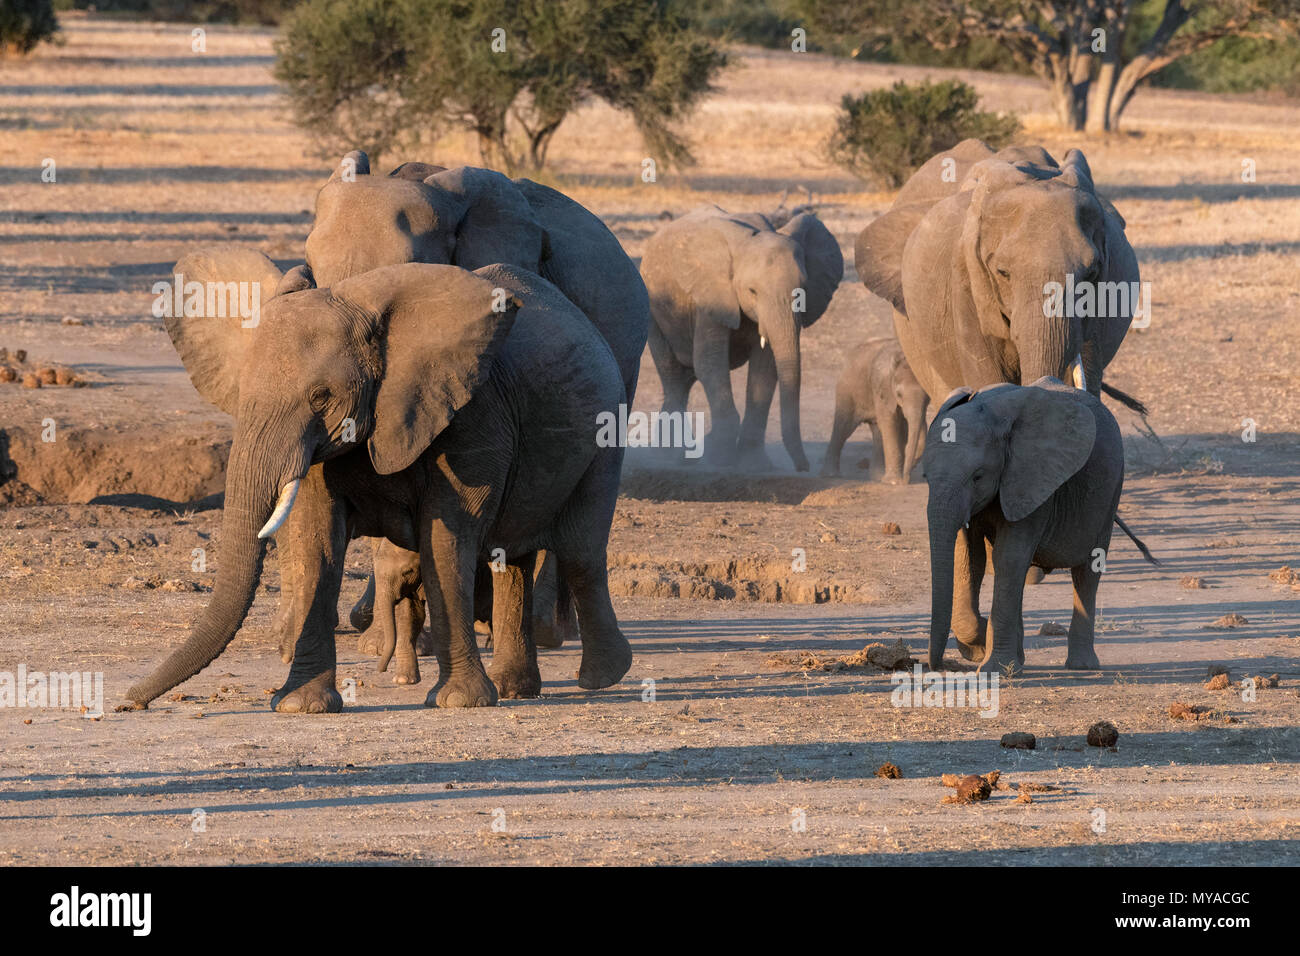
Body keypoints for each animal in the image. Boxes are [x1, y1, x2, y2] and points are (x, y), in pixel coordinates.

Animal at [120, 261, 629, 712]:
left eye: (320, 396)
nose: (131, 701)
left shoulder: (474, 411)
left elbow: (445, 538)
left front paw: (456, 702)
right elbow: (316, 541)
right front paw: (299, 705)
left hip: (608, 429)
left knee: (580, 549)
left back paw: (602, 678)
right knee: (514, 558)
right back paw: (515, 689)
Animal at [639, 204, 842, 473]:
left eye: (804, 289)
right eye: (752, 291)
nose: (804, 467)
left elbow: (765, 368)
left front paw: (754, 464)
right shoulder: (711, 294)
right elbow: (710, 363)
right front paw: (717, 457)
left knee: (685, 379)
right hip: (652, 311)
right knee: (672, 374)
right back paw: (672, 457)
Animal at [816, 338, 930, 486]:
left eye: (927, 396)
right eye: (899, 394)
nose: (906, 480)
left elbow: (915, 423)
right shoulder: (882, 388)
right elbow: (890, 423)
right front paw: (894, 482)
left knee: (878, 430)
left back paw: (878, 477)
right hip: (847, 390)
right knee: (843, 428)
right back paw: (831, 475)